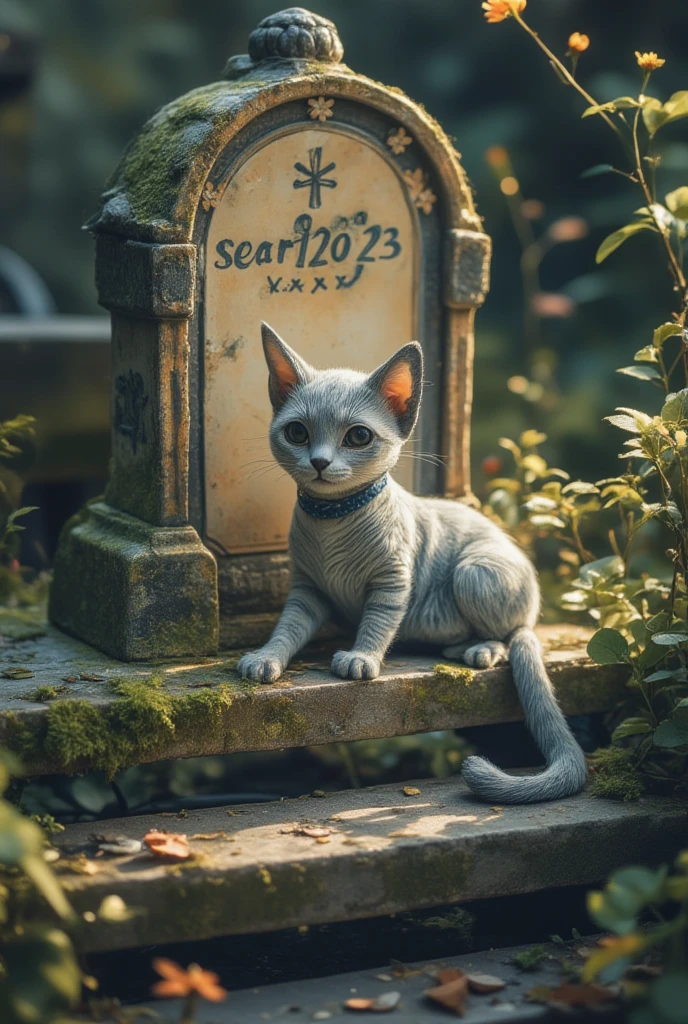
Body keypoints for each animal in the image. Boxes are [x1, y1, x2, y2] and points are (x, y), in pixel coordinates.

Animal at [237, 323, 585, 802]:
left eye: (358, 437)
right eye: (297, 433)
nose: (320, 462)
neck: (331, 520)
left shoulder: (391, 582)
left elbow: (378, 622)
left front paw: (361, 657)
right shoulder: (306, 591)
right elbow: (287, 629)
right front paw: (266, 658)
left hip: (476, 571)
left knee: (512, 633)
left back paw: (479, 649)